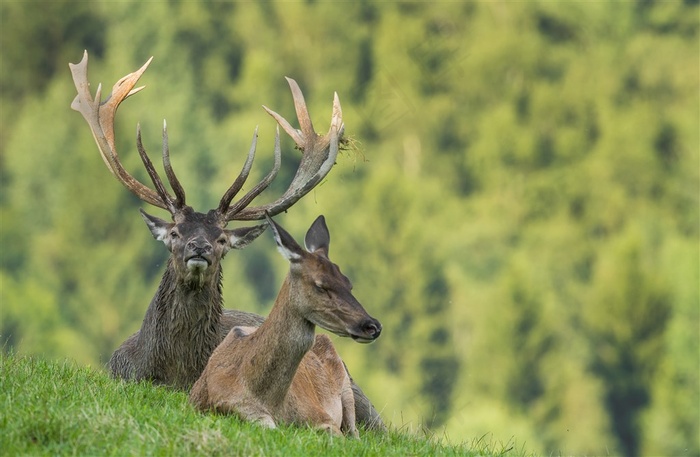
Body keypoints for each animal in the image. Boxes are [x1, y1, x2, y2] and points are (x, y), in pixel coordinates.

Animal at [189, 214, 380, 434]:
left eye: (349, 283)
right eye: (320, 285)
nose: (372, 326)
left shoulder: (320, 415)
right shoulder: (236, 408)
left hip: (347, 387)